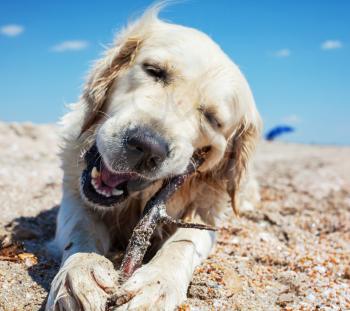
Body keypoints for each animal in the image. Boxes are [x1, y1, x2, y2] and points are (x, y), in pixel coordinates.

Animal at [45, 3, 260, 311]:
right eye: (154, 71)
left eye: (212, 119)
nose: (148, 147)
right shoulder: (74, 197)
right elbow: (80, 229)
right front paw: (81, 271)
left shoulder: (206, 214)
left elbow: (184, 242)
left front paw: (156, 285)